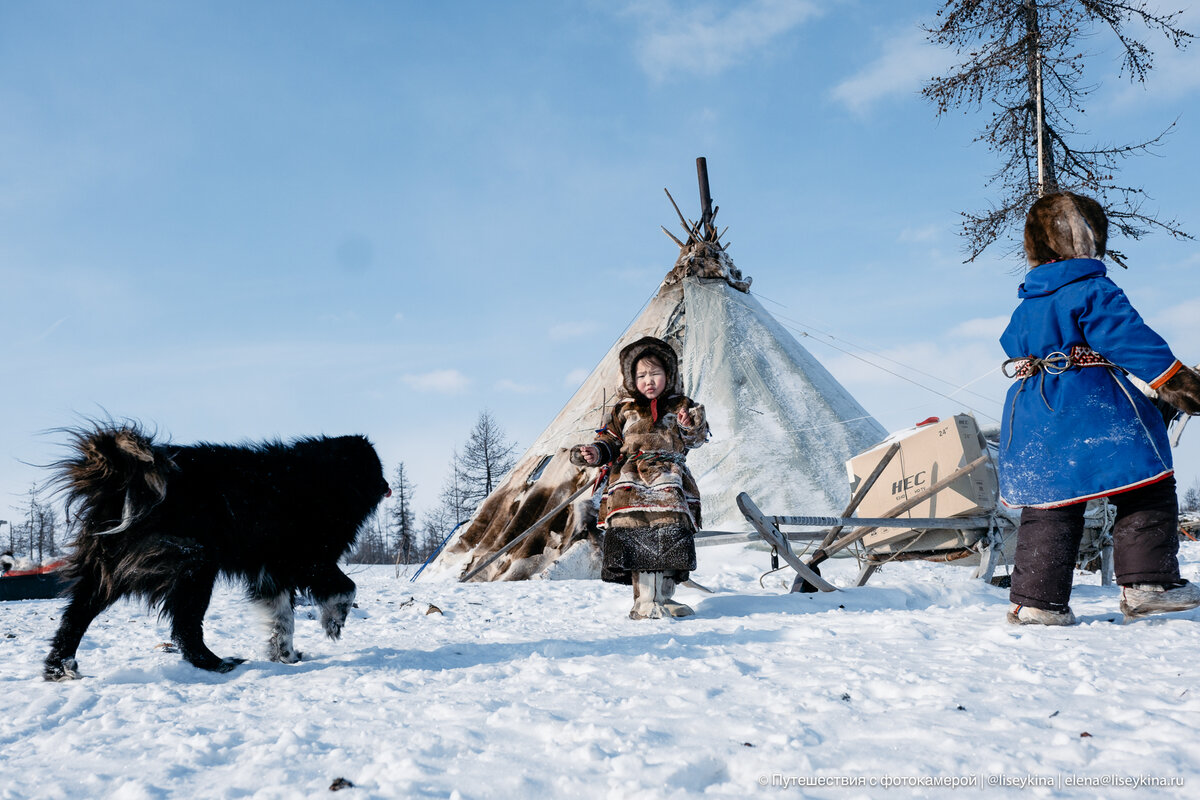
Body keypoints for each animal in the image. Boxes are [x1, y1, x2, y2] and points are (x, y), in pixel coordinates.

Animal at [41, 422, 388, 681]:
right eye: (376, 467)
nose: (387, 485)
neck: (322, 480)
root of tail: (118, 481)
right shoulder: (308, 559)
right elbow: (346, 587)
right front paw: (334, 622)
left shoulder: (273, 573)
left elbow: (282, 619)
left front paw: (286, 654)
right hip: (193, 562)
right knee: (186, 627)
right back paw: (218, 664)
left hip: (111, 569)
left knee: (76, 615)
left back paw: (59, 667)